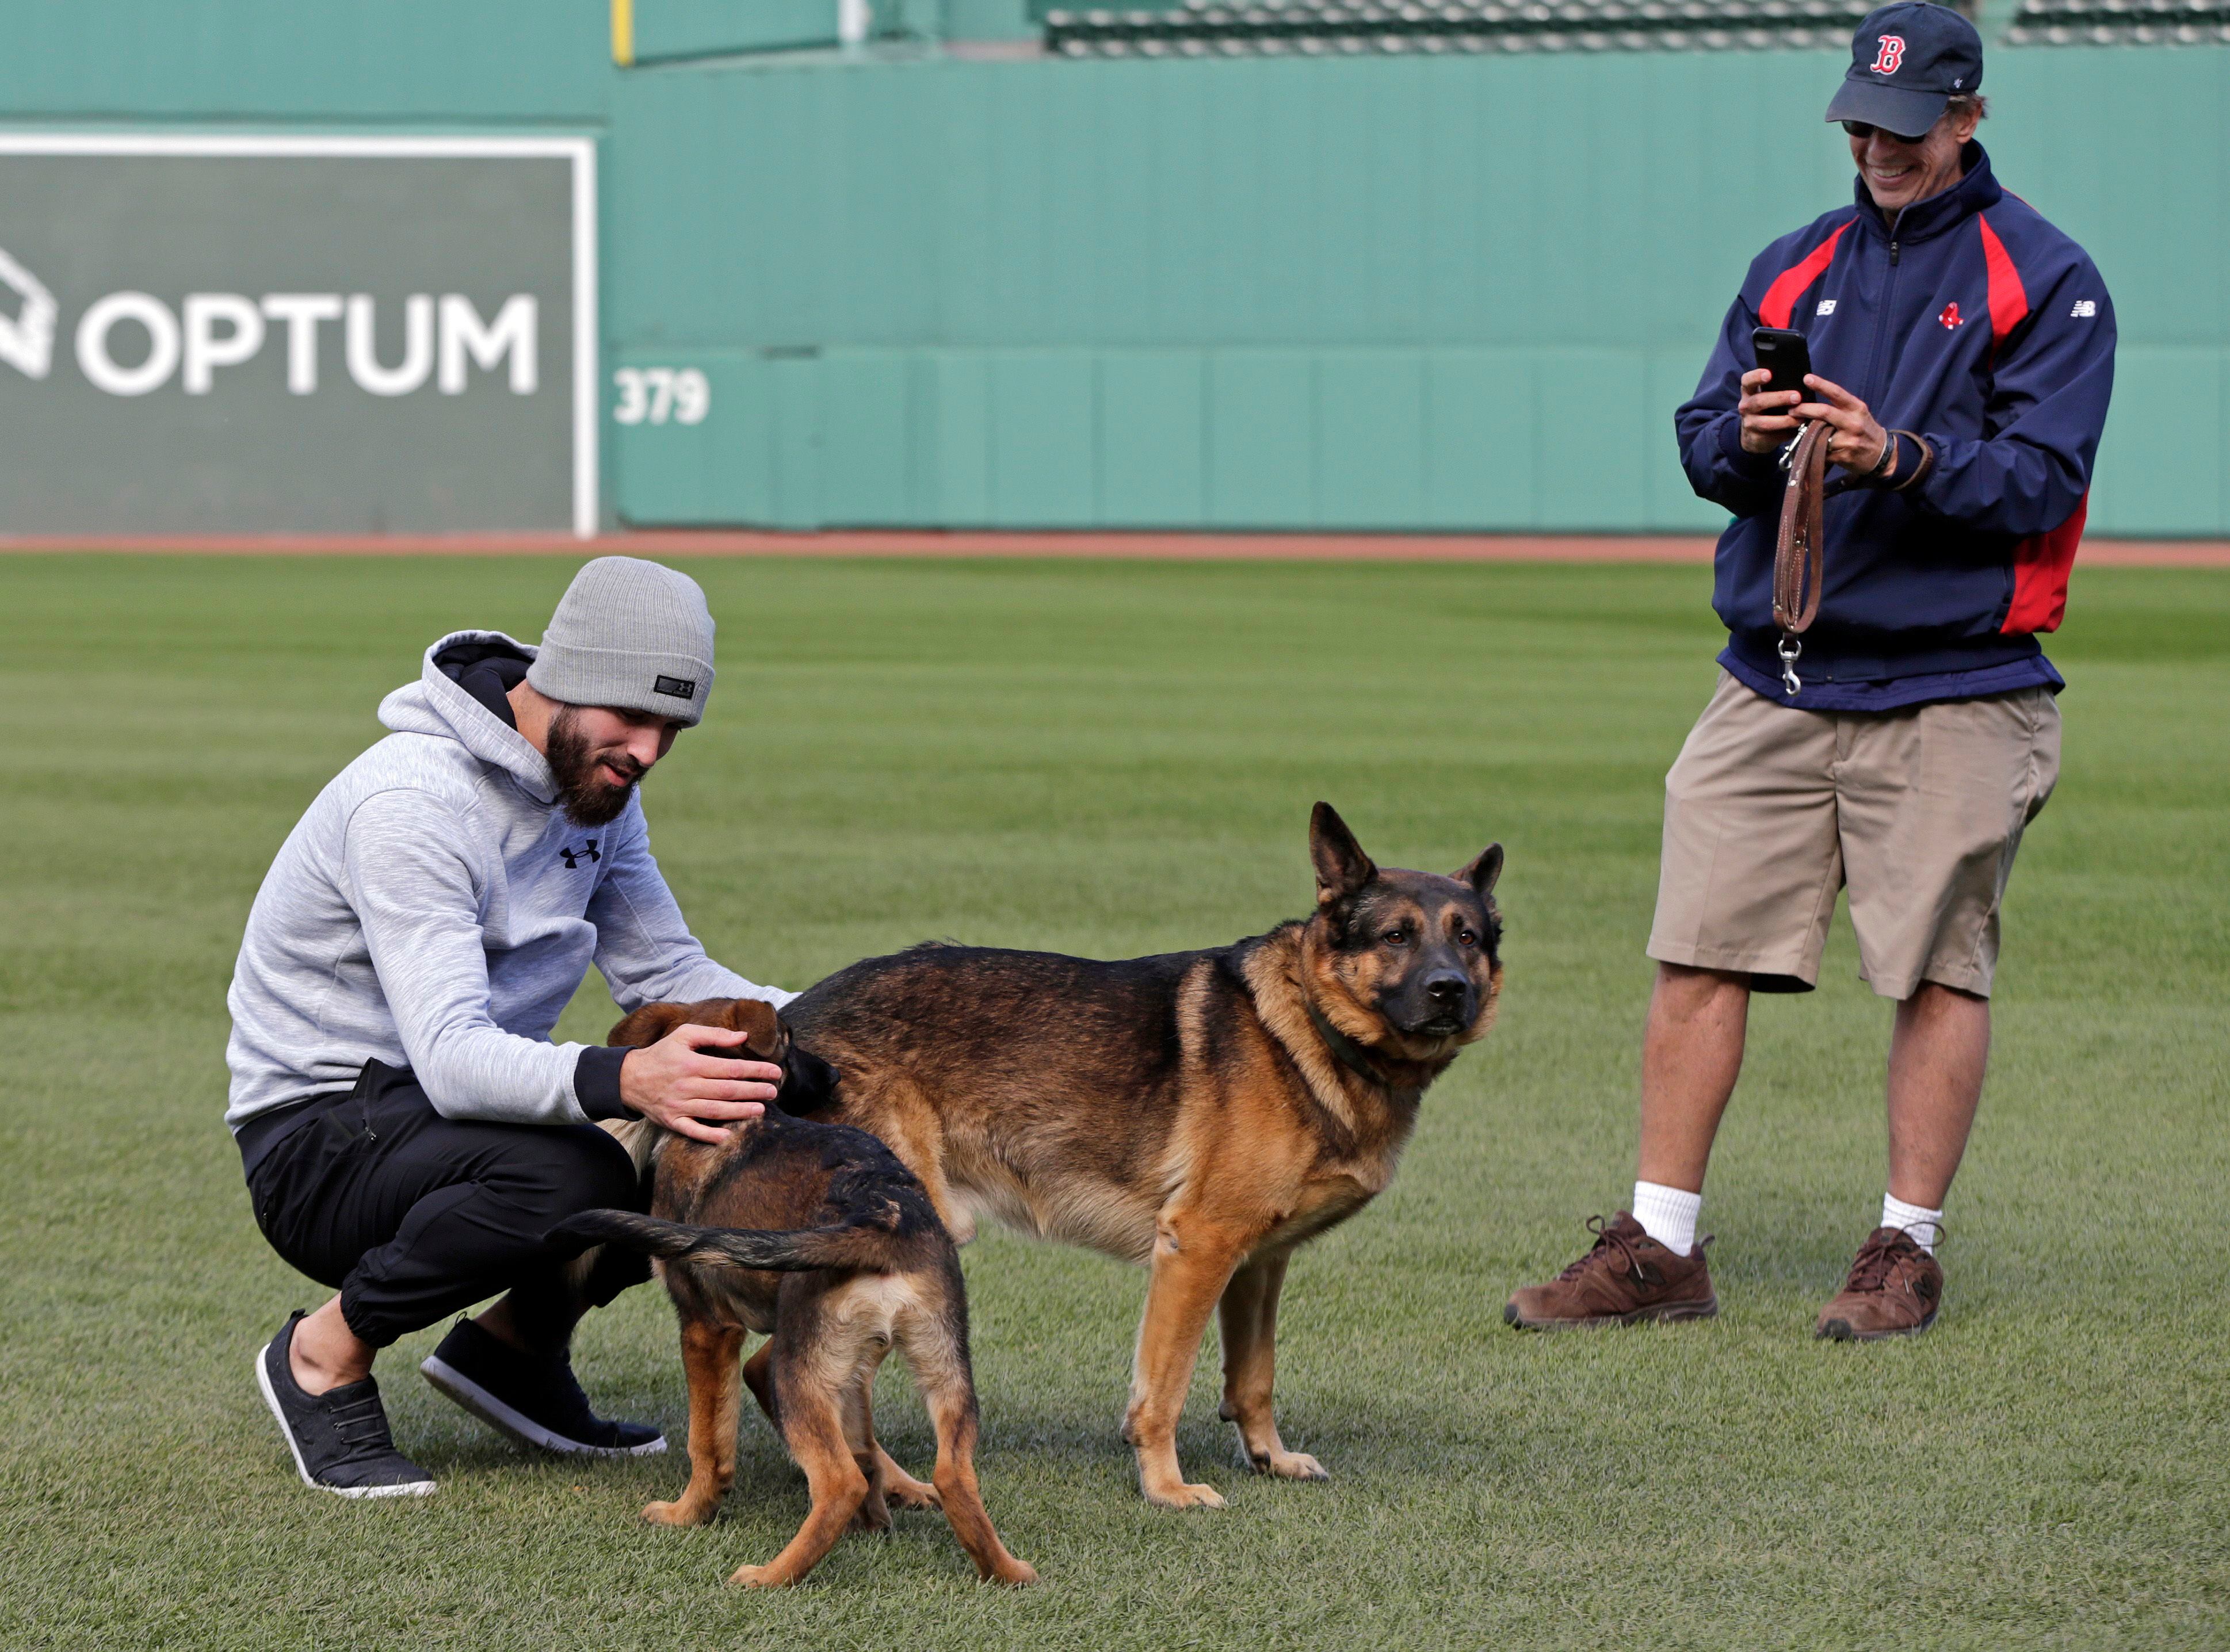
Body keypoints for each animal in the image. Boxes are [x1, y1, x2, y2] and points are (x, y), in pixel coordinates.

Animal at [548, 994, 1034, 1587]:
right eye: (790, 1042)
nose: (833, 1076)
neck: (731, 1115)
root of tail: (882, 1214)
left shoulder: (707, 1329)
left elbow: (708, 1441)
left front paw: (689, 1514)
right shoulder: (851, 1369)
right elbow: (867, 1446)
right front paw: (879, 1521)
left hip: (801, 1374)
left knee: (838, 1482)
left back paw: (772, 1576)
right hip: (938, 1365)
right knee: (952, 1476)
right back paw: (1007, 1571)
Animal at [704, 802, 1498, 1507]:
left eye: (1467, 937)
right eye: (1395, 936)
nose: (1449, 989)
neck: (1307, 1022)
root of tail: (791, 1027)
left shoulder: (1257, 1266)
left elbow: (1253, 1378)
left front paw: (1269, 1458)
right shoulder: (1196, 1250)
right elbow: (1164, 1389)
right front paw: (1167, 1487)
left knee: (773, 1370)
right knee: (787, 1369)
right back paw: (897, 1483)